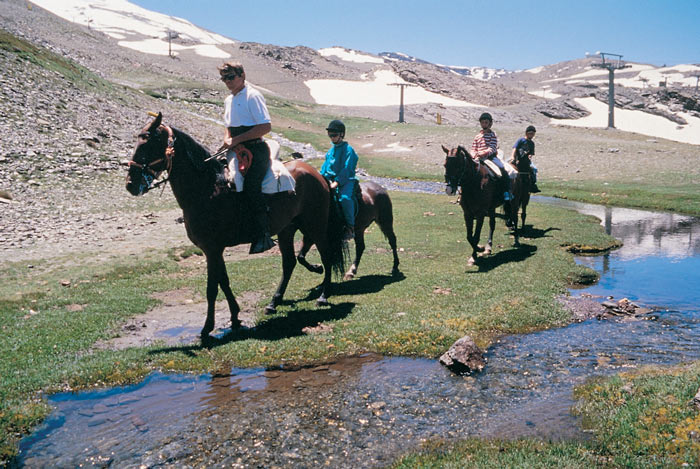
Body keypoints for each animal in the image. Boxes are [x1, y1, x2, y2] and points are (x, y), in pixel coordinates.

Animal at [126, 111, 348, 338]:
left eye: (148, 143)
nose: (131, 184)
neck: (206, 190)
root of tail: (317, 174)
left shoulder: (212, 249)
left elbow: (212, 288)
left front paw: (207, 328)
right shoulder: (214, 250)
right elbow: (223, 282)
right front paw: (234, 317)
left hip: (315, 226)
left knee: (326, 256)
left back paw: (322, 295)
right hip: (287, 229)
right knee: (289, 263)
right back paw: (273, 302)